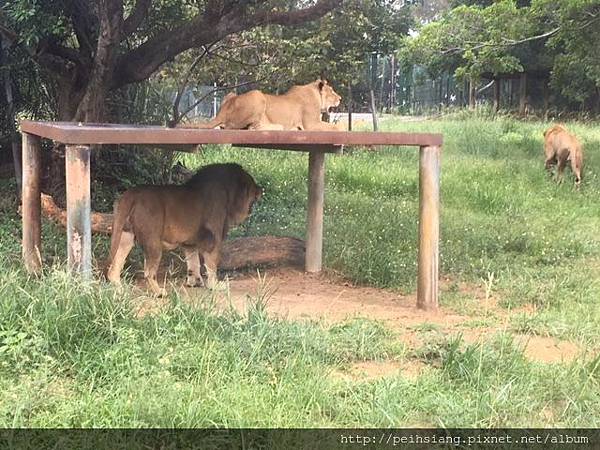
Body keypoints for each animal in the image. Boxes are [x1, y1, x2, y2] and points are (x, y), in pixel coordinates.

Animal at [106, 163, 262, 294]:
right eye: (252, 183)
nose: (261, 189)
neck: (229, 194)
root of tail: (132, 194)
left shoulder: (190, 243)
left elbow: (193, 263)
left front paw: (194, 282)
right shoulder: (212, 237)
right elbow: (212, 264)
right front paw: (215, 286)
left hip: (125, 236)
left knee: (114, 268)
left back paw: (119, 289)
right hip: (153, 241)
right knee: (148, 272)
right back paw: (158, 292)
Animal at [183, 79, 342, 131]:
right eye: (332, 91)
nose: (340, 98)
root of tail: (224, 109)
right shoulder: (311, 124)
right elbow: (337, 127)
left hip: (231, 94)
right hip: (258, 96)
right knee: (245, 127)